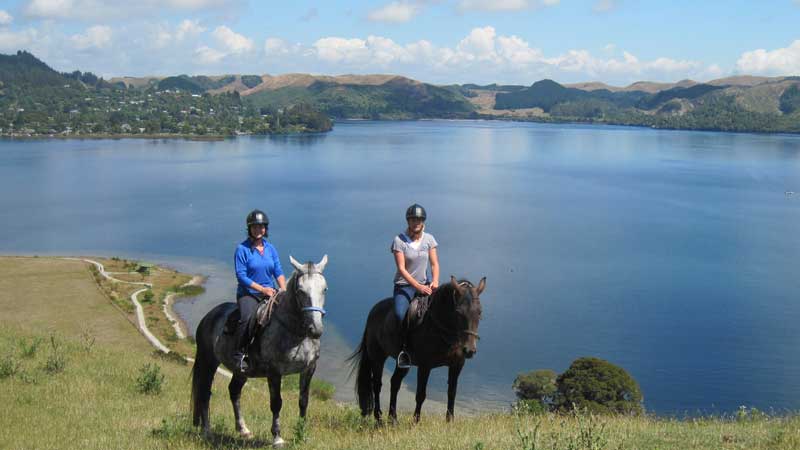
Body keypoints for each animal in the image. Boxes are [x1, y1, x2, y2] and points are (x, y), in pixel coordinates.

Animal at [191, 255, 328, 444]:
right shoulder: (274, 372)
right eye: (301, 291)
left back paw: (243, 429)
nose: (315, 330)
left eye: (324, 289)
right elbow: (276, 403)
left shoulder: (309, 369)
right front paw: (277, 437)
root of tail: (208, 316)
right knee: (204, 393)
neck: (295, 333)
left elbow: (303, 401)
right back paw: (207, 431)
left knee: (234, 392)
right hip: (208, 362)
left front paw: (302, 434)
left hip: (241, 371)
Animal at [352, 276, 488, 424]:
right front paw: (415, 422)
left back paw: (393, 419)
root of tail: (373, 311)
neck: (439, 327)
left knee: (395, 383)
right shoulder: (425, 366)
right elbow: (421, 395)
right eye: (458, 313)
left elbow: (452, 392)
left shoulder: (457, 365)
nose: (469, 350)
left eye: (479, 312)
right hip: (377, 358)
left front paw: (449, 421)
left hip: (403, 363)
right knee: (377, 385)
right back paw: (379, 419)